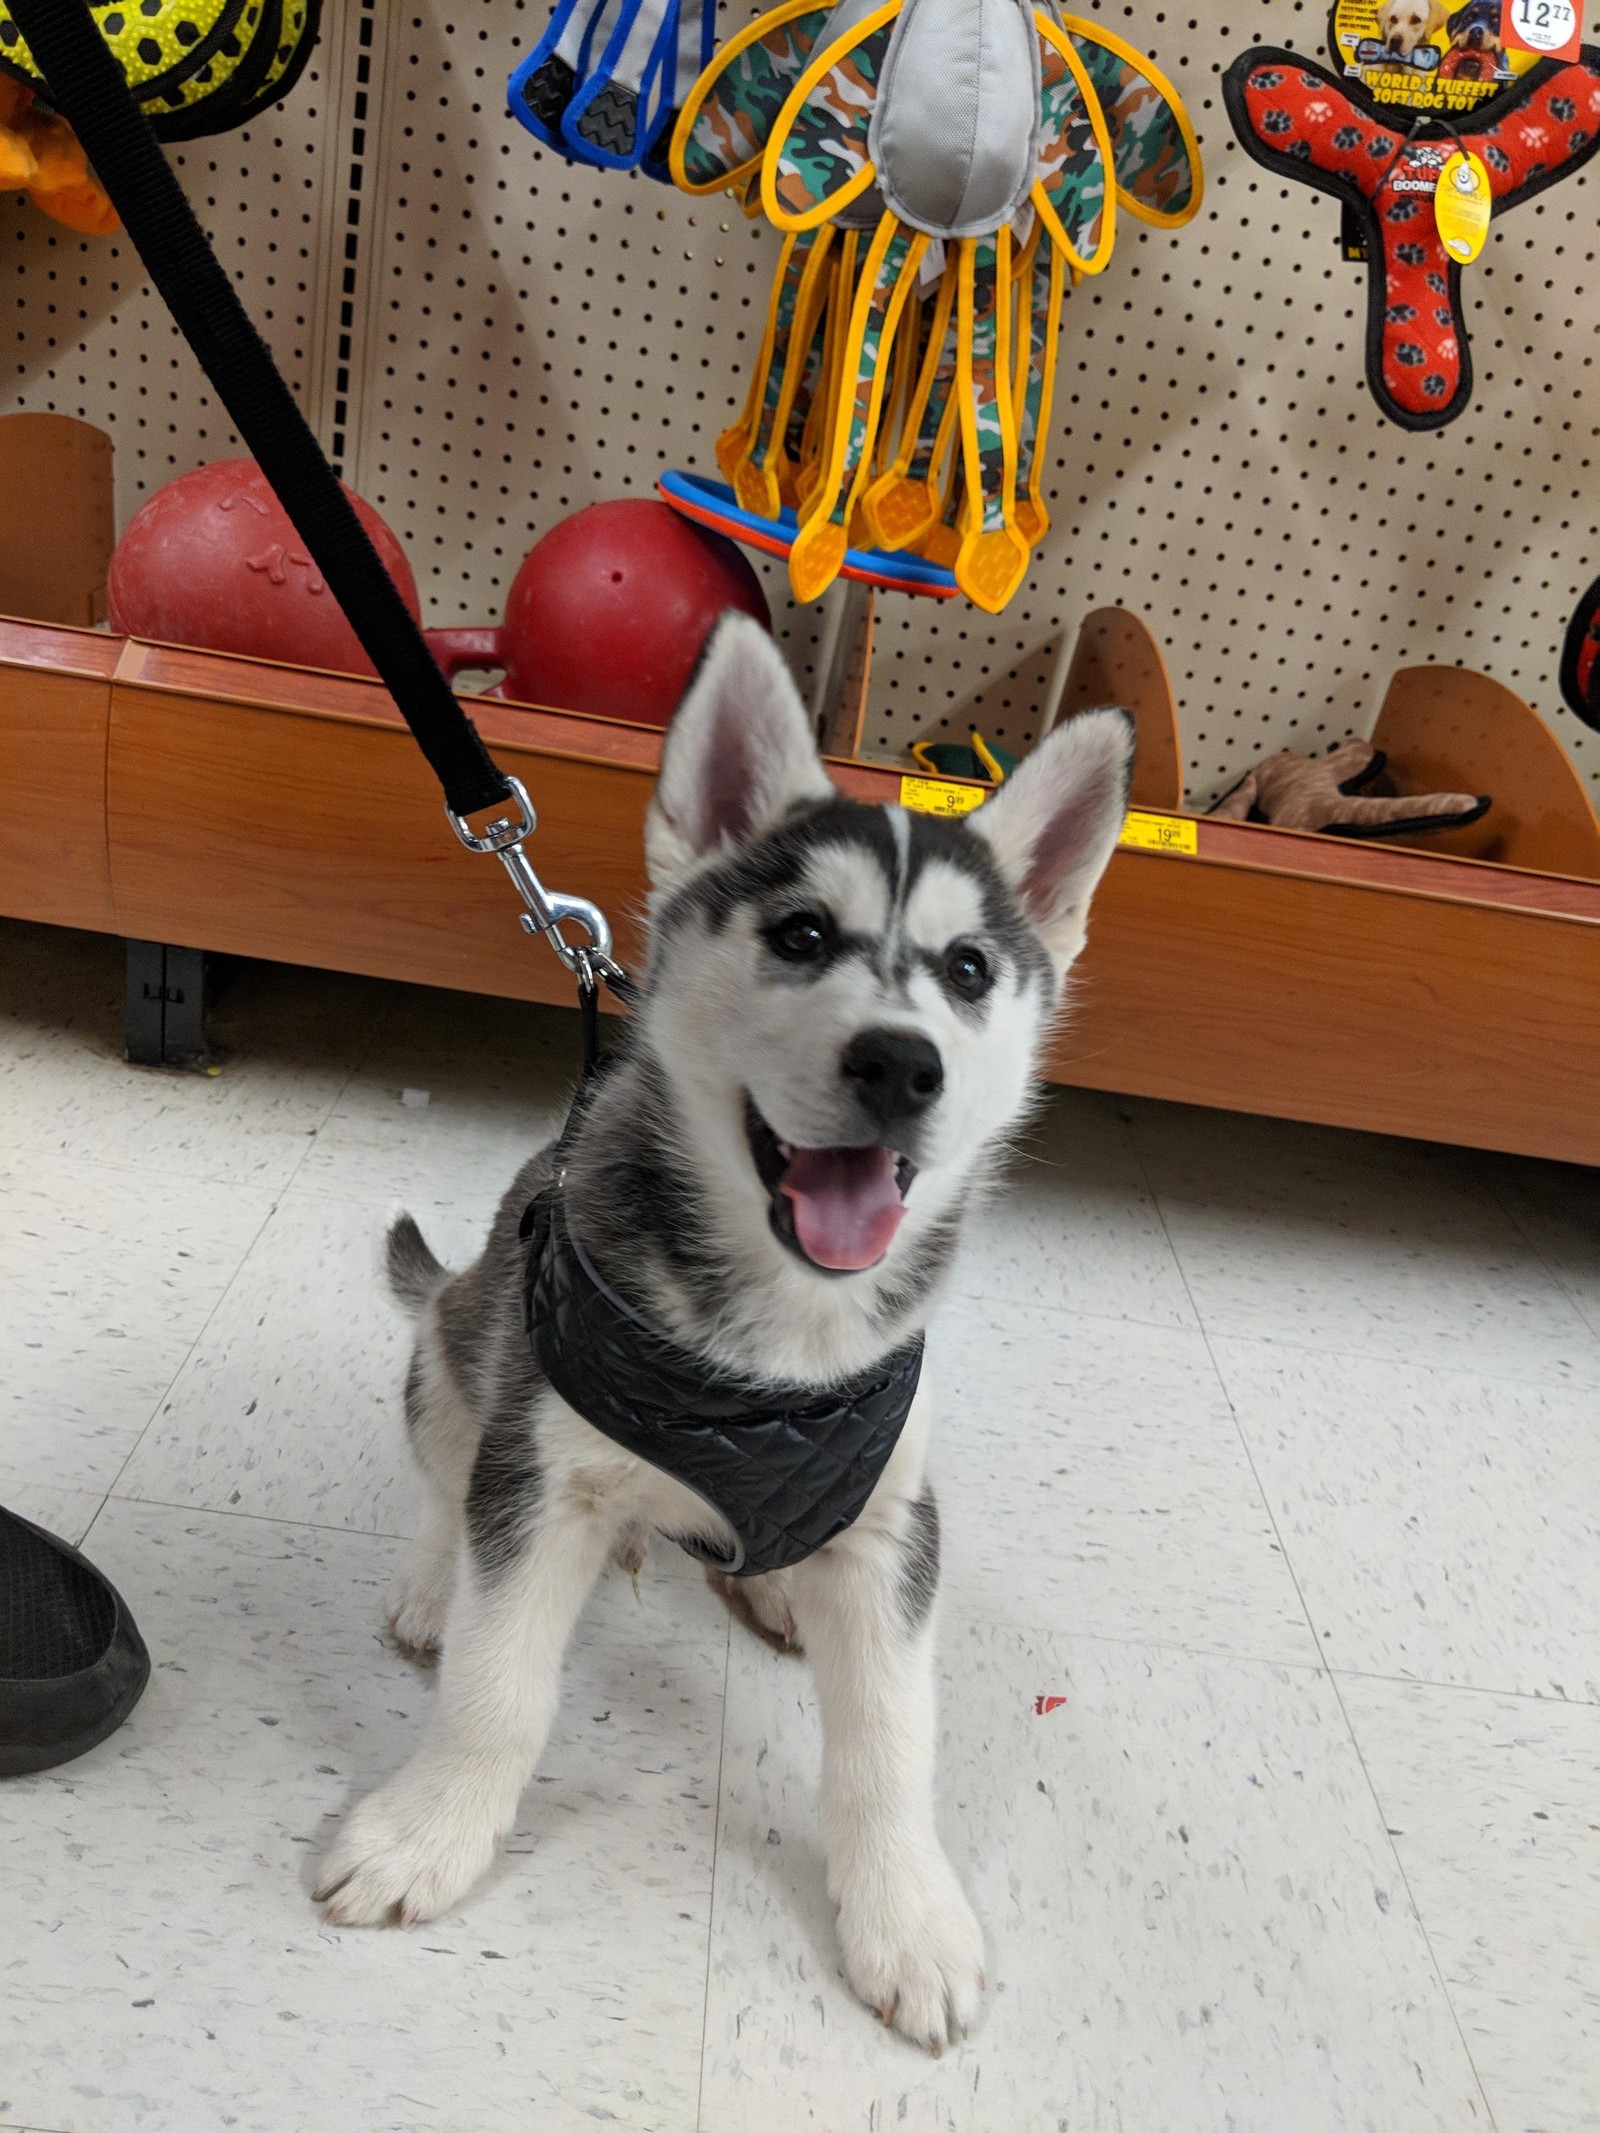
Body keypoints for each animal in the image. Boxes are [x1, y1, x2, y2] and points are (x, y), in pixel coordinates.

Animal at [313, 614, 1134, 2047]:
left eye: (969, 971)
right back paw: (429, 1582)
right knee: (444, 1468)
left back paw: (774, 1591)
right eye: (802, 934)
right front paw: (429, 1832)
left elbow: (889, 1744)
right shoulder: (544, 1472)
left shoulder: (893, 1516)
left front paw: (906, 1916)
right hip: (460, 1344)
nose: (901, 1063)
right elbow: (497, 1685)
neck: (771, 1355)